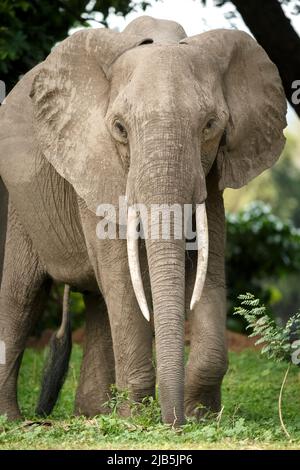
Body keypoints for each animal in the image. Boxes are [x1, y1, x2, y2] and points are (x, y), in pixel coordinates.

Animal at [0, 16, 286, 424]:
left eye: (210, 125)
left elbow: (208, 267)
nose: (174, 423)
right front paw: (141, 420)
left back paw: (95, 414)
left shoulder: (212, 176)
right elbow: (123, 273)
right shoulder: (93, 159)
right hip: (20, 202)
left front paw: (200, 416)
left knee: (98, 303)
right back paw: (16, 420)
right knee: (23, 295)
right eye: (119, 128)